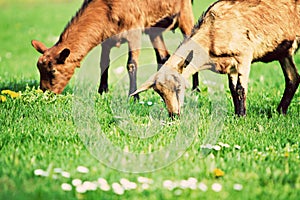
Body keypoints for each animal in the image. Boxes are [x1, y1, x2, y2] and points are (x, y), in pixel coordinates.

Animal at [31, 0, 195, 97]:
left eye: (53, 71)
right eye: (39, 69)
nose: (45, 93)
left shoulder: (134, 31)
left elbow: (131, 64)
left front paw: (134, 96)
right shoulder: (106, 37)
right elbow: (104, 63)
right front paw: (102, 91)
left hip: (185, 12)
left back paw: (196, 89)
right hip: (154, 28)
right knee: (163, 56)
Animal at [132, 0, 300, 117]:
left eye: (179, 87)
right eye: (160, 94)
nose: (174, 115)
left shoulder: (243, 55)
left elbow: (240, 89)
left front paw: (242, 116)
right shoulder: (230, 65)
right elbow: (233, 89)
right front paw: (237, 115)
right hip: (283, 51)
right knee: (293, 77)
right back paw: (280, 112)